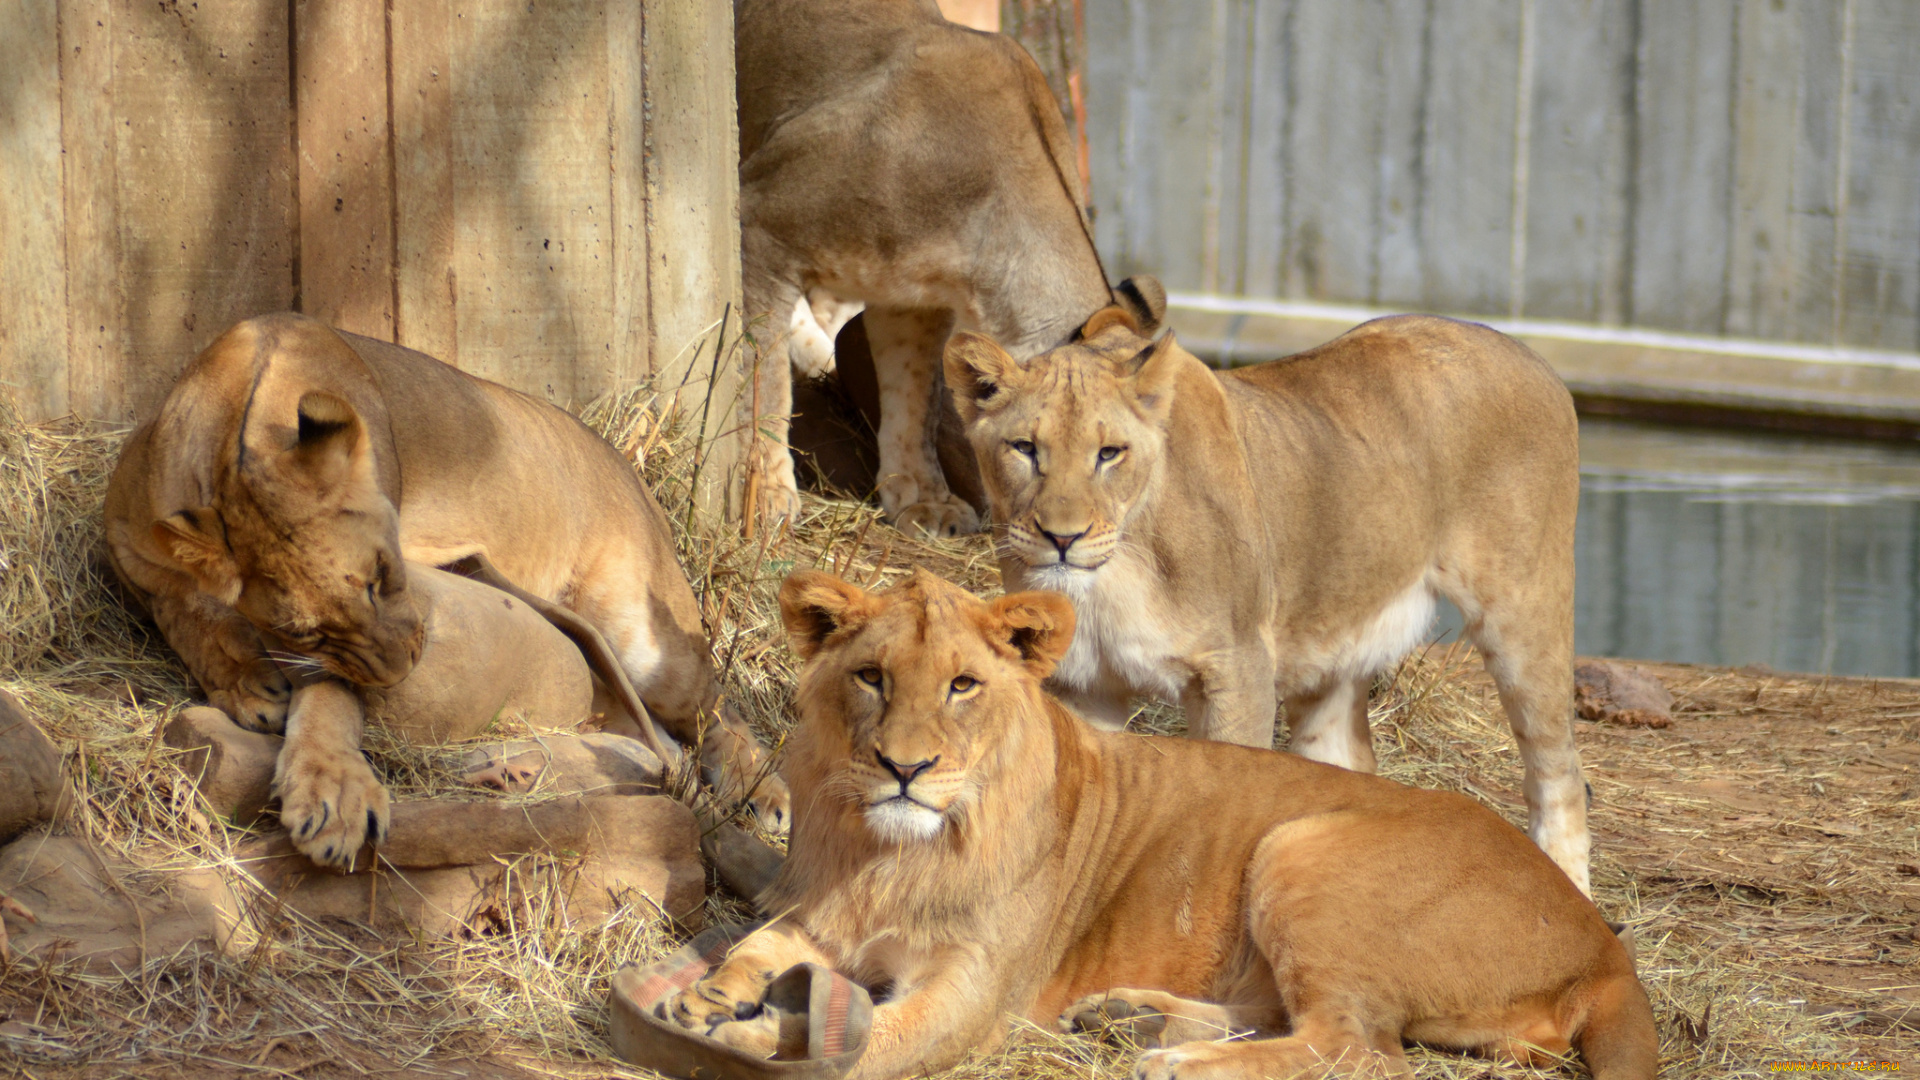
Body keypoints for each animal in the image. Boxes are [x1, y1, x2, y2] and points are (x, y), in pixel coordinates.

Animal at [107, 313, 787, 864]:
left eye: (386, 573)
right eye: (304, 629)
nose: (403, 667)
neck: (240, 434)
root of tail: (629, 466)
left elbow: (330, 695)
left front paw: (332, 791)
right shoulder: (128, 546)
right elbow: (186, 609)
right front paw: (247, 681)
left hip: (644, 639)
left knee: (719, 706)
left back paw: (765, 793)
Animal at [660, 568, 1651, 1068]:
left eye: (962, 686)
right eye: (871, 677)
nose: (906, 768)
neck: (887, 852)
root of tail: (1601, 943)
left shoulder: (973, 992)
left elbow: (876, 1042)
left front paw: (748, 1036)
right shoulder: (821, 922)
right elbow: (754, 946)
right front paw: (704, 995)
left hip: (1303, 844)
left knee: (1358, 1049)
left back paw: (1169, 1059)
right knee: (1291, 1015)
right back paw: (1135, 1020)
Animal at [741, 0, 1121, 534]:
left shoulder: (912, 302)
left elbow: (914, 396)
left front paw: (925, 499)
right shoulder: (760, 221)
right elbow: (762, 376)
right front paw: (764, 492)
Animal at [944, 278, 1589, 891]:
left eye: (1109, 454)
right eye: (1024, 448)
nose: (1063, 537)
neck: (1110, 579)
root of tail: (1529, 353)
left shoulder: (1238, 669)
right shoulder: (1084, 685)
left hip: (1523, 616)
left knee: (1560, 774)